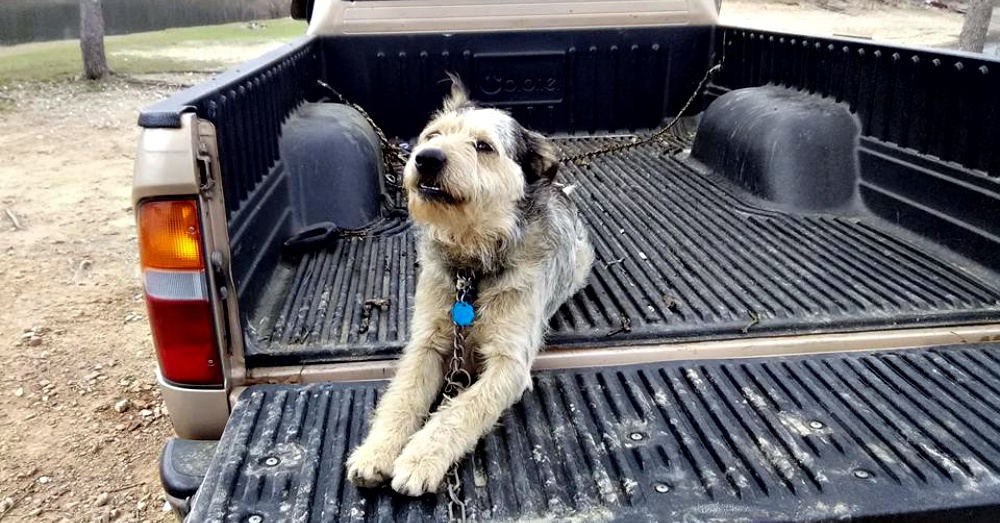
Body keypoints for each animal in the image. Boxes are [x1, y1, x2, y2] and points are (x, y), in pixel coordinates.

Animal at [346, 75, 592, 498]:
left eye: (483, 146)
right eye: (432, 135)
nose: (426, 158)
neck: (472, 266)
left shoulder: (510, 363)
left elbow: (462, 409)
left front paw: (420, 458)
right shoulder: (426, 343)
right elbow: (402, 396)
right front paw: (376, 450)